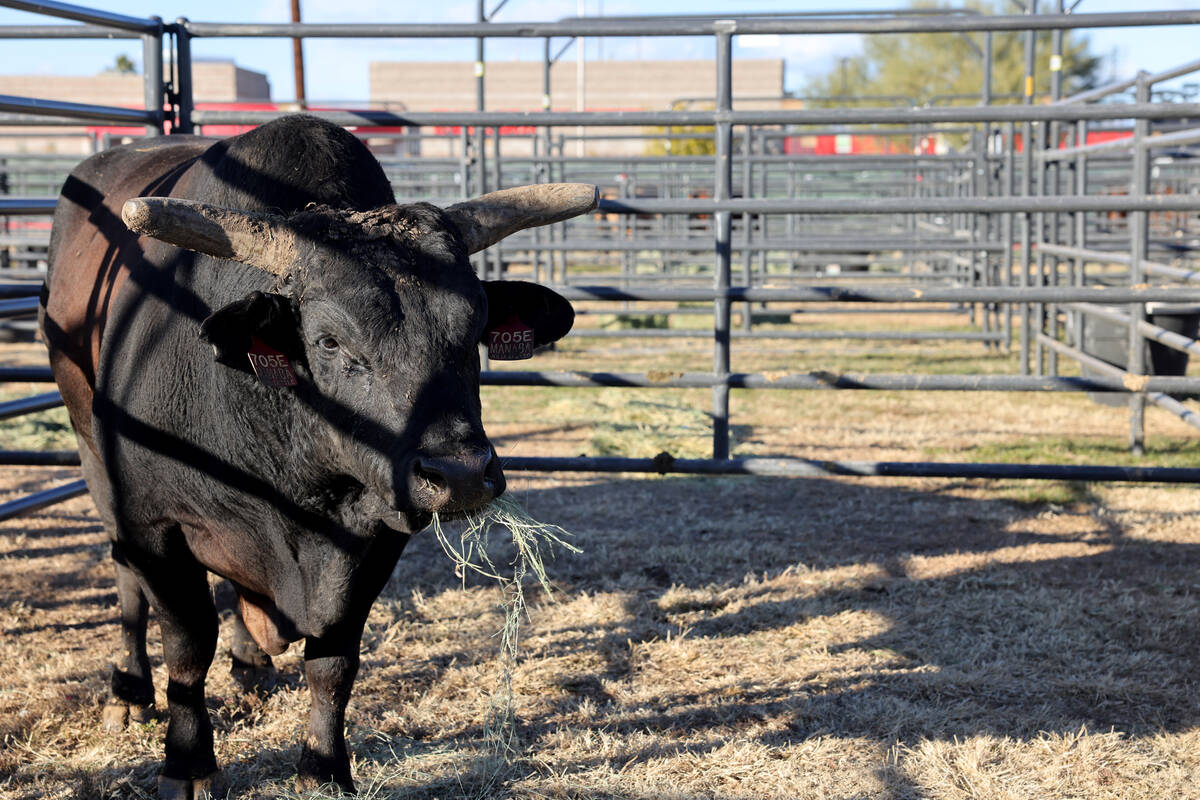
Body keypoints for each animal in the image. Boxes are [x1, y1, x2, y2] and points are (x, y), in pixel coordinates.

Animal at [39, 113, 597, 800]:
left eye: (475, 330)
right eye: (329, 340)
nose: (462, 475)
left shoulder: (376, 533)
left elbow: (333, 660)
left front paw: (323, 766)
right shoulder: (154, 523)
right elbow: (188, 645)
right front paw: (187, 762)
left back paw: (250, 661)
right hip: (91, 453)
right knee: (125, 577)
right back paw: (129, 687)